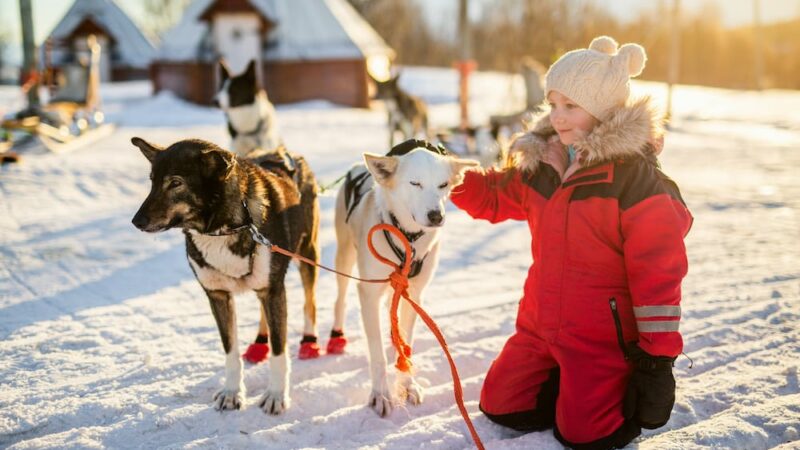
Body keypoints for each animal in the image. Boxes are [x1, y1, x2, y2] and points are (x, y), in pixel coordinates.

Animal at [130, 138, 318, 414]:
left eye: (175, 183)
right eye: (152, 181)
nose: (137, 221)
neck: (222, 229)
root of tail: (286, 152)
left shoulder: (273, 290)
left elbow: (279, 352)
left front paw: (275, 394)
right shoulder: (218, 295)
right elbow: (230, 351)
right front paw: (232, 392)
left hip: (307, 255)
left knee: (309, 303)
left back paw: (309, 341)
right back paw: (259, 343)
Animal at [324, 141, 476, 418]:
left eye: (443, 185)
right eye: (415, 183)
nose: (436, 215)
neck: (407, 238)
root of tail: (357, 167)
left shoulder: (413, 293)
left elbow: (406, 340)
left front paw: (407, 384)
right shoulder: (368, 294)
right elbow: (377, 354)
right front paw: (381, 394)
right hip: (344, 256)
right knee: (340, 300)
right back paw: (336, 336)